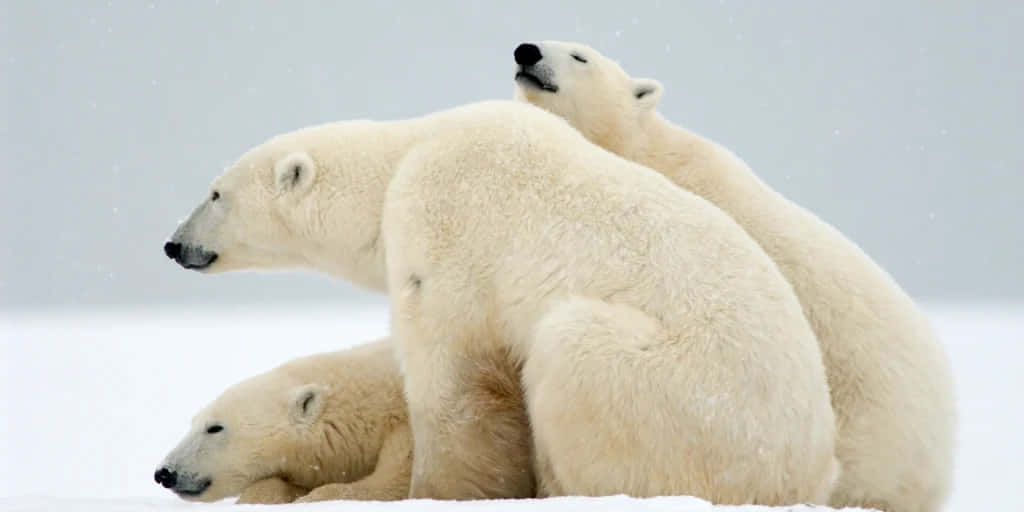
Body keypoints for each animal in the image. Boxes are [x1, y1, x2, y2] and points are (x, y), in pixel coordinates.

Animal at [154, 340, 415, 504]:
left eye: (215, 428)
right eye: (192, 422)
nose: (165, 473)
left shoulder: (410, 430)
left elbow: (394, 482)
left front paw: (311, 500)